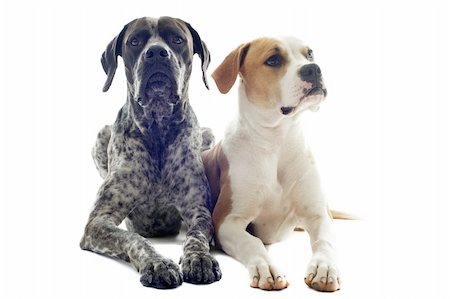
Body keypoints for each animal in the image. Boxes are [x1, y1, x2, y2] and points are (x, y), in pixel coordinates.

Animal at [81, 15, 222, 288]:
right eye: (134, 42)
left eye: (177, 39)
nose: (156, 52)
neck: (157, 129)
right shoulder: (99, 220)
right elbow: (133, 239)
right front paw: (157, 263)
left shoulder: (199, 210)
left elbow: (196, 235)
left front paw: (199, 258)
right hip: (101, 135)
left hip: (208, 134)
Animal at [202, 38, 340, 292]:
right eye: (273, 60)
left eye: (310, 54)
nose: (313, 69)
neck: (277, 140)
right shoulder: (227, 221)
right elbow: (252, 242)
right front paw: (266, 267)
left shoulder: (319, 214)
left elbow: (324, 241)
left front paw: (324, 268)